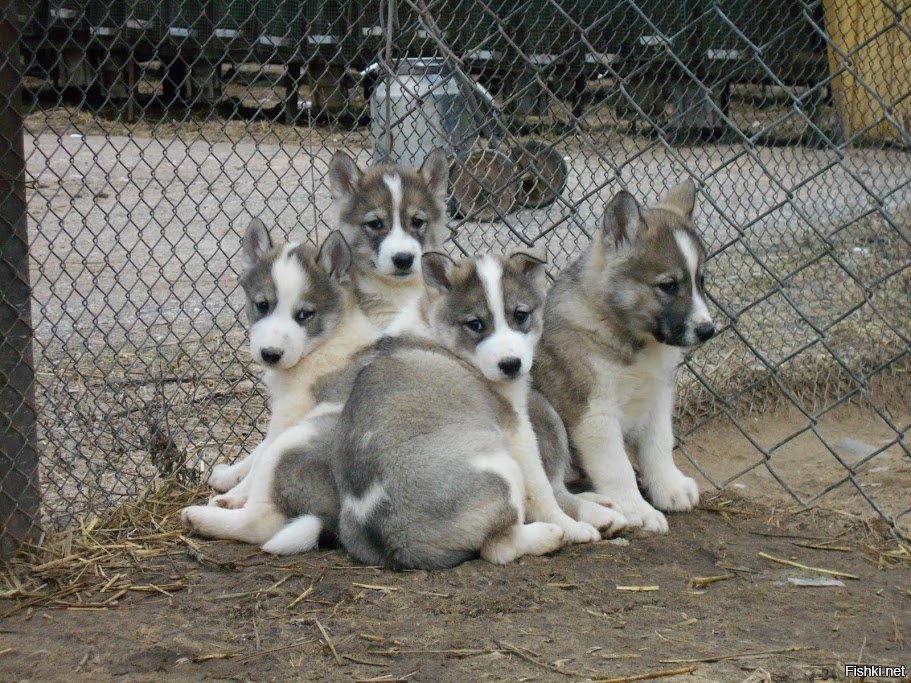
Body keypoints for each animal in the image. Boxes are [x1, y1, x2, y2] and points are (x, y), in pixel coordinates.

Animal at [332, 251, 624, 572]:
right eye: (475, 324)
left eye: (520, 316)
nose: (510, 365)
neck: (433, 327)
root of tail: (398, 541)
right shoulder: (517, 429)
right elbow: (541, 490)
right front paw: (571, 528)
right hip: (500, 469)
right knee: (499, 547)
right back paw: (552, 534)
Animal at [536, 182, 720, 536]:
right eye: (668, 285)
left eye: (701, 281)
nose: (708, 331)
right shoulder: (595, 413)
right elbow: (617, 466)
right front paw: (638, 509)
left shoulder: (658, 397)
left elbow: (659, 446)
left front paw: (668, 488)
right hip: (543, 417)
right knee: (546, 490)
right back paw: (601, 514)